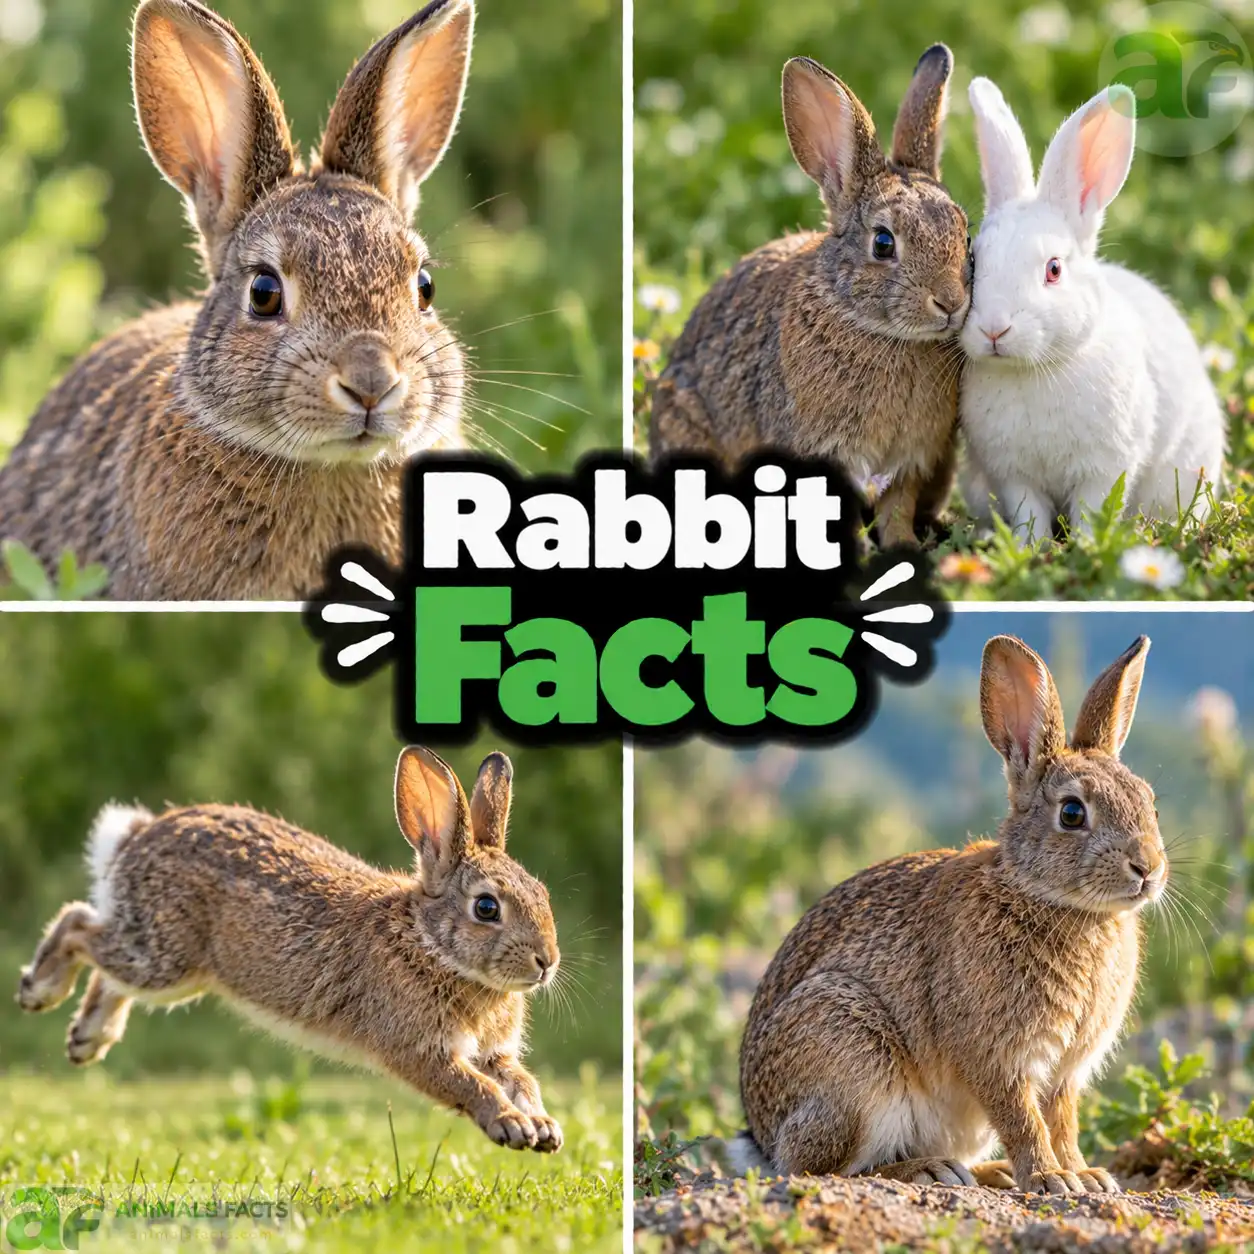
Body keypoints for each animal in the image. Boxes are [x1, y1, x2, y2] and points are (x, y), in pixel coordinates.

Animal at [16, 747, 564, 1153]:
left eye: (542, 893)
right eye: (487, 908)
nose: (546, 962)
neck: (431, 944)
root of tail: (136, 838)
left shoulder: (494, 1052)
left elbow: (522, 1080)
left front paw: (543, 1127)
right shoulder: (418, 1047)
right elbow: (474, 1086)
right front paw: (512, 1126)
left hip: (170, 968)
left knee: (106, 964)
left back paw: (88, 1038)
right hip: (164, 958)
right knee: (78, 926)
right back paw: (38, 990)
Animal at [649, 46, 973, 547]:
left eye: (965, 234)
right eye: (883, 243)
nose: (951, 302)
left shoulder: (912, 457)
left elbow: (898, 508)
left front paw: (904, 548)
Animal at [733, 633, 1165, 1195]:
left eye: (1150, 803)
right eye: (1072, 813)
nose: (1148, 868)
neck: (1046, 896)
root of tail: (762, 1139)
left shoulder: (1065, 1072)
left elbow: (1062, 1120)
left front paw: (1084, 1175)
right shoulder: (995, 1055)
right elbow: (1023, 1118)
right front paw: (1051, 1178)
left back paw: (987, 1172)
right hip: (851, 1060)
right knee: (820, 1166)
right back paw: (927, 1169)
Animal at [959, 78, 1226, 539]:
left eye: (1054, 270)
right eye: (973, 260)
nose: (994, 329)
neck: (1034, 370)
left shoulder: (1104, 468)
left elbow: (1093, 510)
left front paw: (1084, 545)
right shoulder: (1013, 476)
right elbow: (1030, 513)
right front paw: (1032, 547)